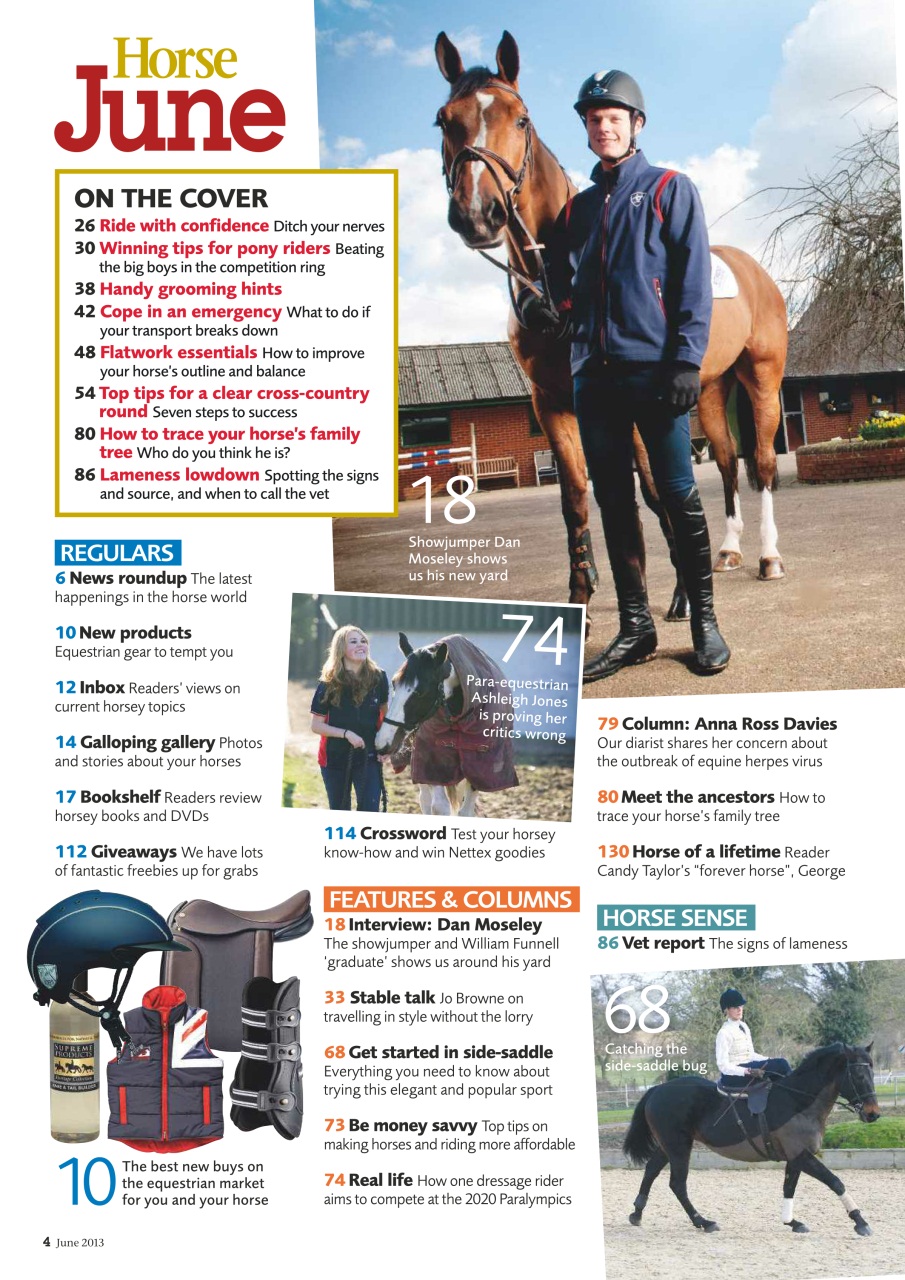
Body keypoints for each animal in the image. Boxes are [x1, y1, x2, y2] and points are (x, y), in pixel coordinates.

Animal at [374, 632, 519, 815]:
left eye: (420, 692)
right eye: (394, 684)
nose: (382, 742)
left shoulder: (478, 769)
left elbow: (465, 812)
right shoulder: (433, 766)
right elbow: (439, 806)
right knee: (425, 800)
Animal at [622, 1042, 880, 1237]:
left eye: (872, 1072)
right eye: (858, 1074)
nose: (873, 1113)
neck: (798, 1101)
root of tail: (657, 1089)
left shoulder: (795, 1158)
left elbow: (789, 1187)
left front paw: (791, 1222)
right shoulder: (801, 1155)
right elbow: (835, 1182)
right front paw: (860, 1222)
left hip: (668, 1145)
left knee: (651, 1170)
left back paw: (637, 1213)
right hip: (678, 1147)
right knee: (677, 1184)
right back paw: (703, 1222)